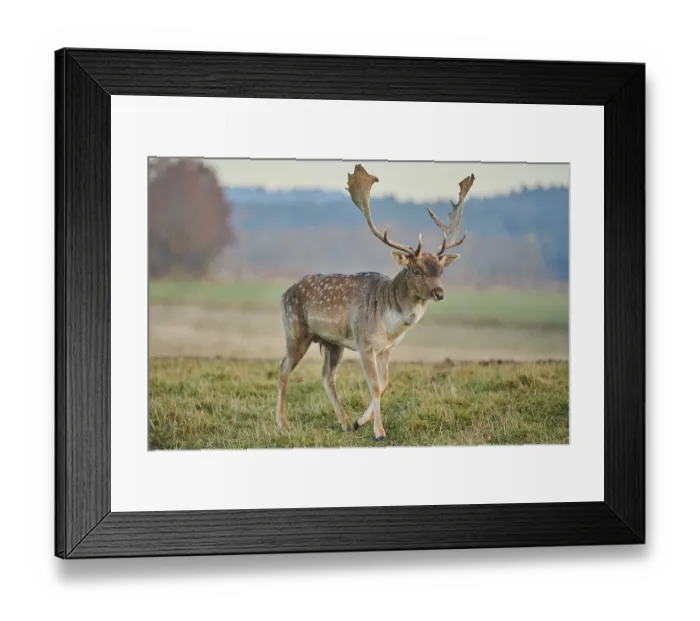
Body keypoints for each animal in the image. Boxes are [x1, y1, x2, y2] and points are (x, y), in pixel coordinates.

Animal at [276, 164, 475, 442]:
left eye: (441, 271)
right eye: (416, 270)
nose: (439, 293)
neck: (389, 324)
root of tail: (283, 293)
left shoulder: (387, 348)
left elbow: (384, 384)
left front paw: (361, 422)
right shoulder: (364, 343)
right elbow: (374, 385)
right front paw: (379, 432)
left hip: (332, 343)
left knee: (327, 376)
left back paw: (346, 423)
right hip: (295, 331)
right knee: (283, 368)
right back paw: (282, 423)